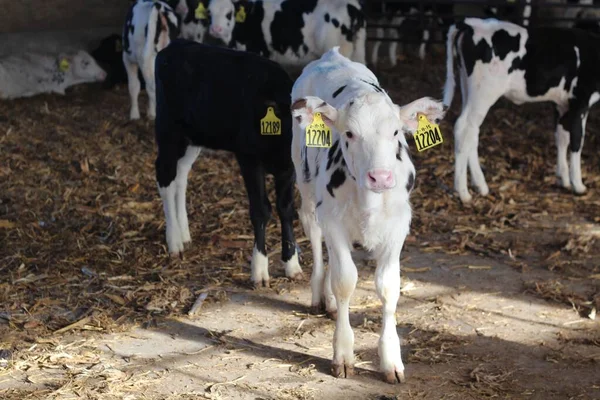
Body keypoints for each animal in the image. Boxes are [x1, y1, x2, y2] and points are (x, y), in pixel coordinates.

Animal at [156, 38, 302, 288]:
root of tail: (176, 44)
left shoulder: (288, 169)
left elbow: (286, 209)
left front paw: (292, 265)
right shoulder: (249, 160)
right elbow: (261, 210)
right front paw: (259, 270)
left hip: (194, 137)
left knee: (180, 176)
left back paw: (184, 234)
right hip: (168, 131)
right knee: (164, 177)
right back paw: (174, 240)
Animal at [206, 0, 366, 65]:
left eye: (229, 13)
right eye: (210, 12)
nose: (215, 29)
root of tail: (353, 6)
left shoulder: (258, 51)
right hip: (358, 50)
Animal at [288, 47, 448, 384]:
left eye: (396, 132)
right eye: (349, 133)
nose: (381, 177)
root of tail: (332, 55)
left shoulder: (398, 225)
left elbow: (388, 286)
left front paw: (391, 359)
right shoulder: (333, 220)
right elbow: (345, 281)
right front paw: (343, 354)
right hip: (306, 187)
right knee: (316, 238)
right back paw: (320, 294)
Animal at [442, 18, 600, 203]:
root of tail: (470, 23)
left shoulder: (561, 104)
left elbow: (561, 138)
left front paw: (564, 179)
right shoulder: (580, 102)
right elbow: (577, 141)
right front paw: (578, 185)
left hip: (468, 88)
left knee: (472, 133)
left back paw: (480, 186)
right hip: (484, 92)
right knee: (464, 128)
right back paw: (463, 192)